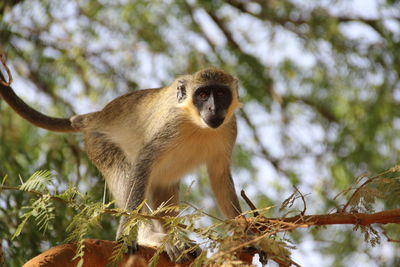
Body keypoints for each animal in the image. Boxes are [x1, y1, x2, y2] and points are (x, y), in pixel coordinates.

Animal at [0, 67, 241, 264]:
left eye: (221, 94)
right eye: (203, 94)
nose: (212, 108)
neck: (197, 123)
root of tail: (98, 116)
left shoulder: (230, 129)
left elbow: (219, 175)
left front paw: (244, 231)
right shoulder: (171, 125)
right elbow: (143, 163)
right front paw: (130, 234)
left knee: (163, 187)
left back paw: (173, 237)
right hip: (98, 142)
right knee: (124, 170)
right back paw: (150, 237)